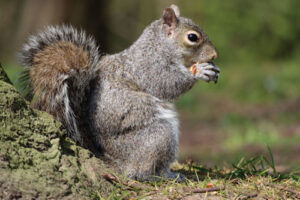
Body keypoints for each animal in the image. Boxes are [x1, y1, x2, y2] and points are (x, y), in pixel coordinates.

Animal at [19, 4, 219, 180]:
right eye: (192, 37)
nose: (215, 55)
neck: (158, 45)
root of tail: (113, 161)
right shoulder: (148, 66)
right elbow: (167, 83)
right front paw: (200, 72)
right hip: (157, 137)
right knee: (140, 171)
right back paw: (164, 176)